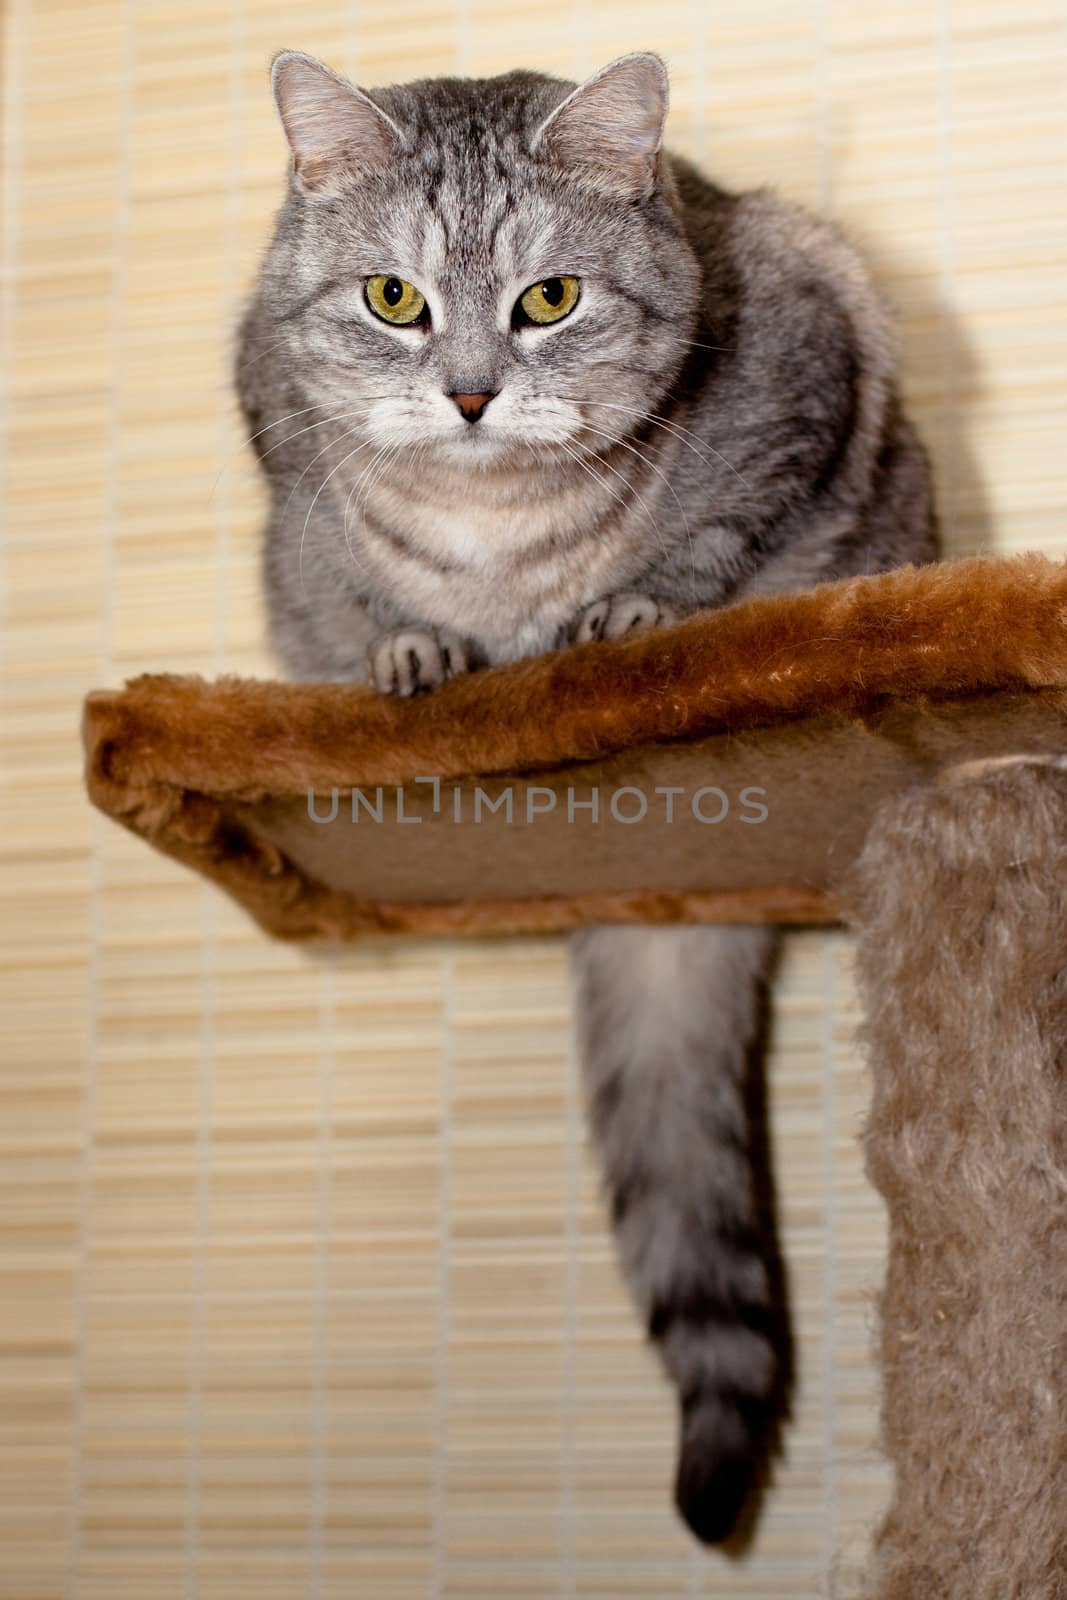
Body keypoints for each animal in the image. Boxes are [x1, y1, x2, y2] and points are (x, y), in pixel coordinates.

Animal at [238, 50, 940, 1542]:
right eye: (393, 298)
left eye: (547, 298)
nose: (466, 394)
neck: (498, 543)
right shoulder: (279, 447)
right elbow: (368, 587)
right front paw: (413, 643)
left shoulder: (809, 370)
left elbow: (703, 550)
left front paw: (620, 612)